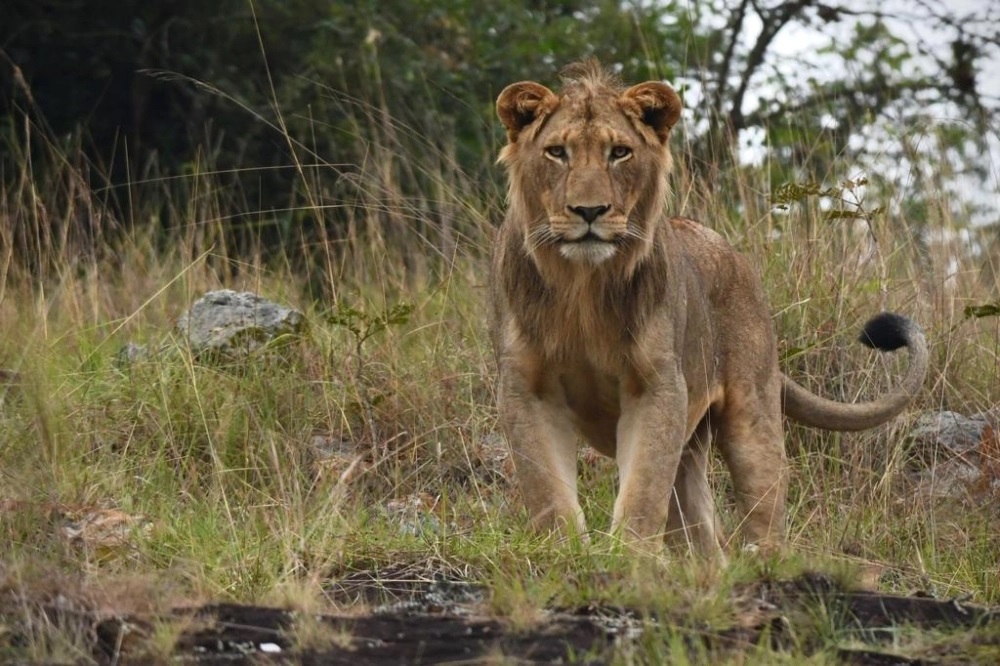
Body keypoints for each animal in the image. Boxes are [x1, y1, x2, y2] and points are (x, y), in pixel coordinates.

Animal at [490, 61, 928, 555]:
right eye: (556, 152)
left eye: (619, 152)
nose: (589, 211)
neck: (582, 286)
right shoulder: (526, 387)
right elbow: (546, 488)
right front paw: (566, 553)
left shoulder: (658, 385)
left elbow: (643, 488)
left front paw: (632, 556)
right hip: (691, 449)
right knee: (705, 542)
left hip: (752, 415)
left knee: (763, 508)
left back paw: (763, 559)